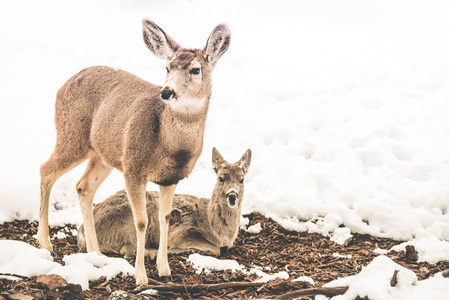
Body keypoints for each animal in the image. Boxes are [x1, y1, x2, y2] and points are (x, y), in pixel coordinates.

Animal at [36, 19, 231, 284]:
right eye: (167, 68)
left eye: (195, 70)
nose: (166, 92)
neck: (169, 146)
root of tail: (64, 85)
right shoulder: (133, 168)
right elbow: (141, 222)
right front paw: (141, 276)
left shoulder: (170, 178)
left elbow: (164, 218)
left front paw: (164, 269)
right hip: (72, 136)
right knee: (46, 170)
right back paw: (45, 244)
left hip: (103, 153)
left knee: (83, 186)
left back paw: (96, 253)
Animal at [77, 149, 252, 258]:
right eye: (221, 178)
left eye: (242, 179)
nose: (232, 196)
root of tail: (81, 232)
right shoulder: (182, 231)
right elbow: (215, 249)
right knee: (129, 249)